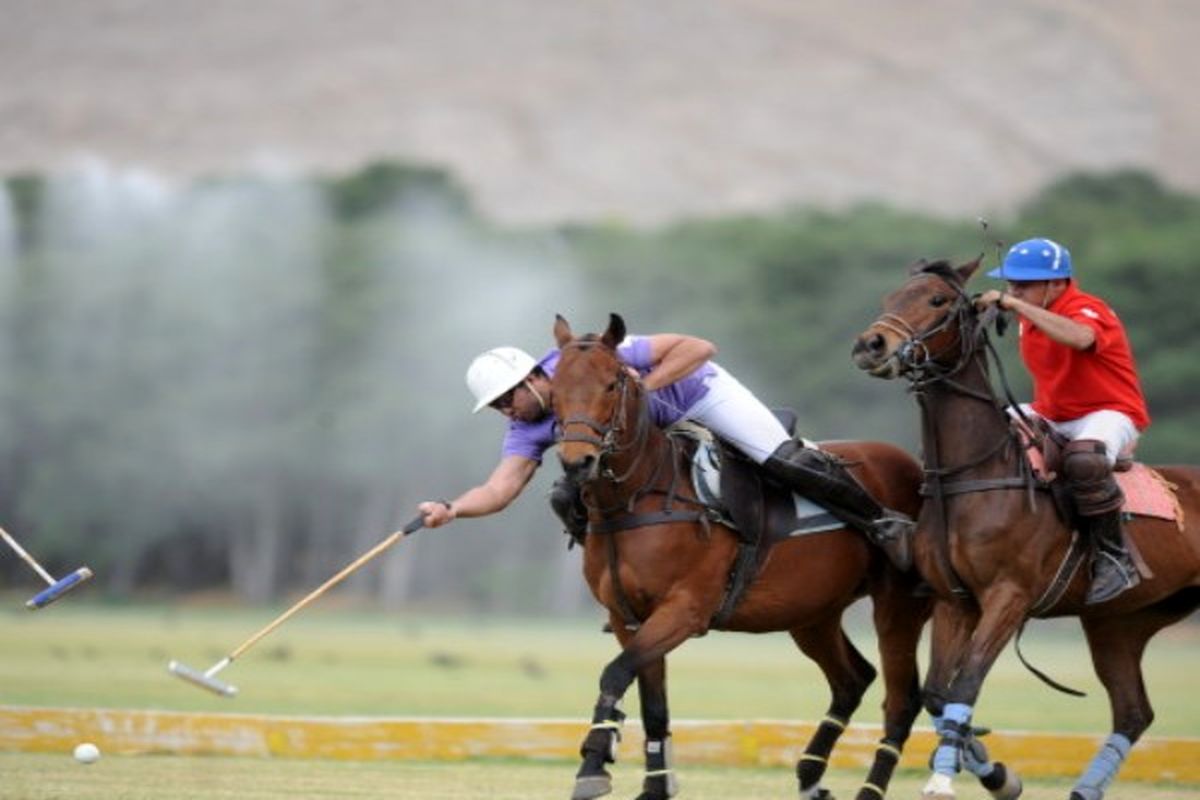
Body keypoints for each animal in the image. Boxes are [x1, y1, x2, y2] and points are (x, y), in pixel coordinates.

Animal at [552, 316, 964, 800]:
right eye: (555, 387)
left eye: (612, 383)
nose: (577, 462)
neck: (634, 499)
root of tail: (919, 472)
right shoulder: (628, 618)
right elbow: (652, 705)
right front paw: (650, 786)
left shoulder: (683, 611)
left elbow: (615, 674)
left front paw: (593, 764)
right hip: (812, 613)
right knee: (852, 679)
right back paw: (811, 775)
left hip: (897, 608)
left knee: (901, 700)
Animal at [849, 257, 1200, 800]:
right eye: (891, 297)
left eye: (937, 300)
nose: (872, 345)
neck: (973, 475)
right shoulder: (955, 599)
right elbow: (938, 692)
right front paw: (995, 772)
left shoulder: (1008, 596)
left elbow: (966, 682)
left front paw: (945, 779)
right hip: (1120, 623)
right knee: (1133, 711)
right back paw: (1085, 789)